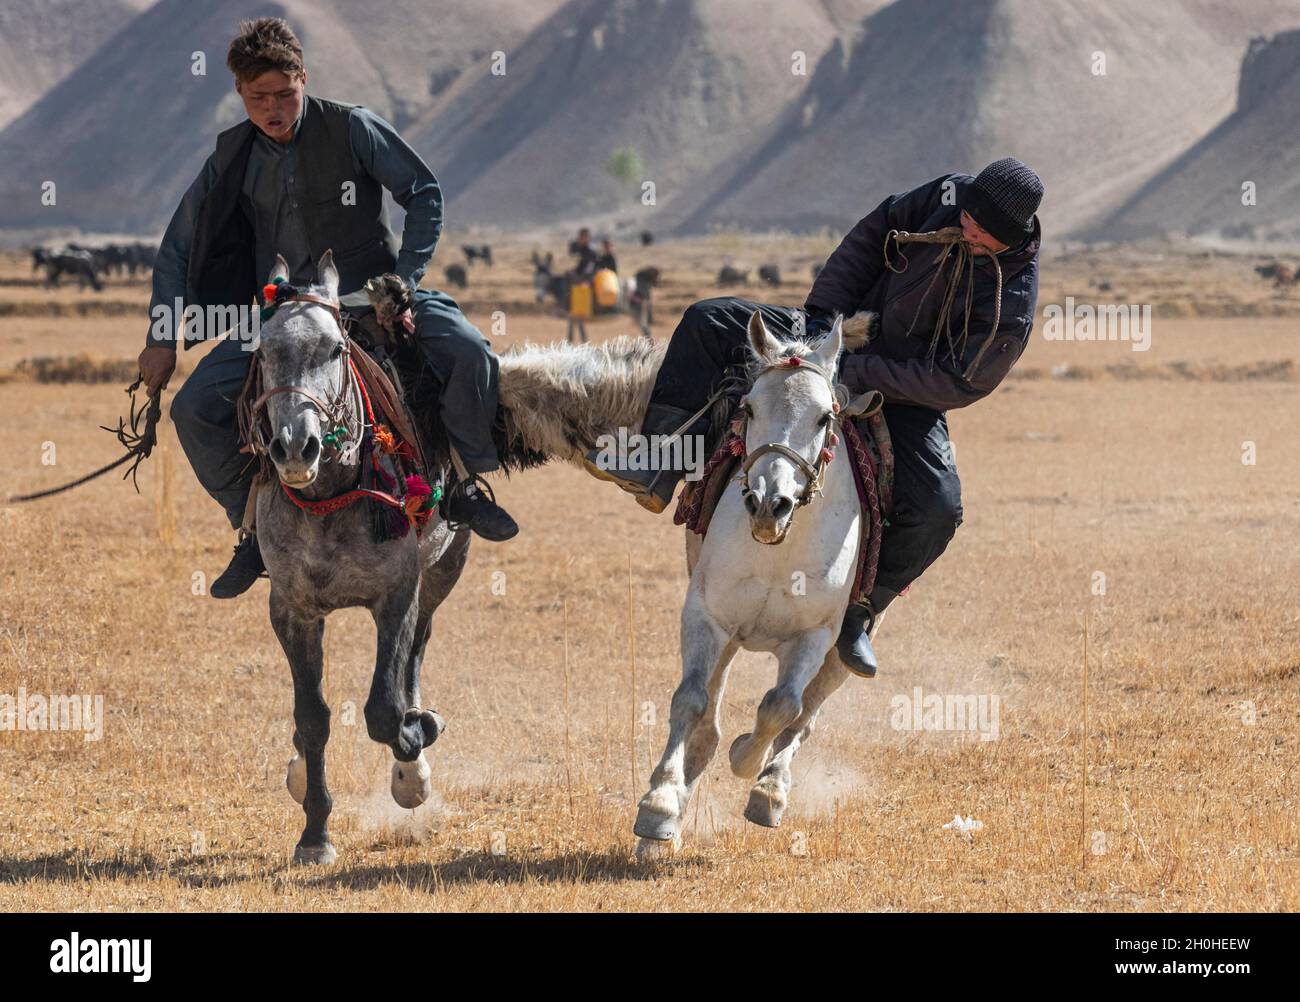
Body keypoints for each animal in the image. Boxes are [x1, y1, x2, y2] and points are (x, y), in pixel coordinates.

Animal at [631, 309, 883, 852]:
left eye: (824, 417)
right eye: (748, 408)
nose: (770, 503)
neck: (778, 551)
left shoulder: (814, 636)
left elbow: (780, 708)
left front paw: (750, 765)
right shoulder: (707, 616)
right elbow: (690, 701)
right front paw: (658, 806)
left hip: (840, 654)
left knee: (804, 718)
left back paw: (772, 790)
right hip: (728, 635)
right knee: (708, 720)